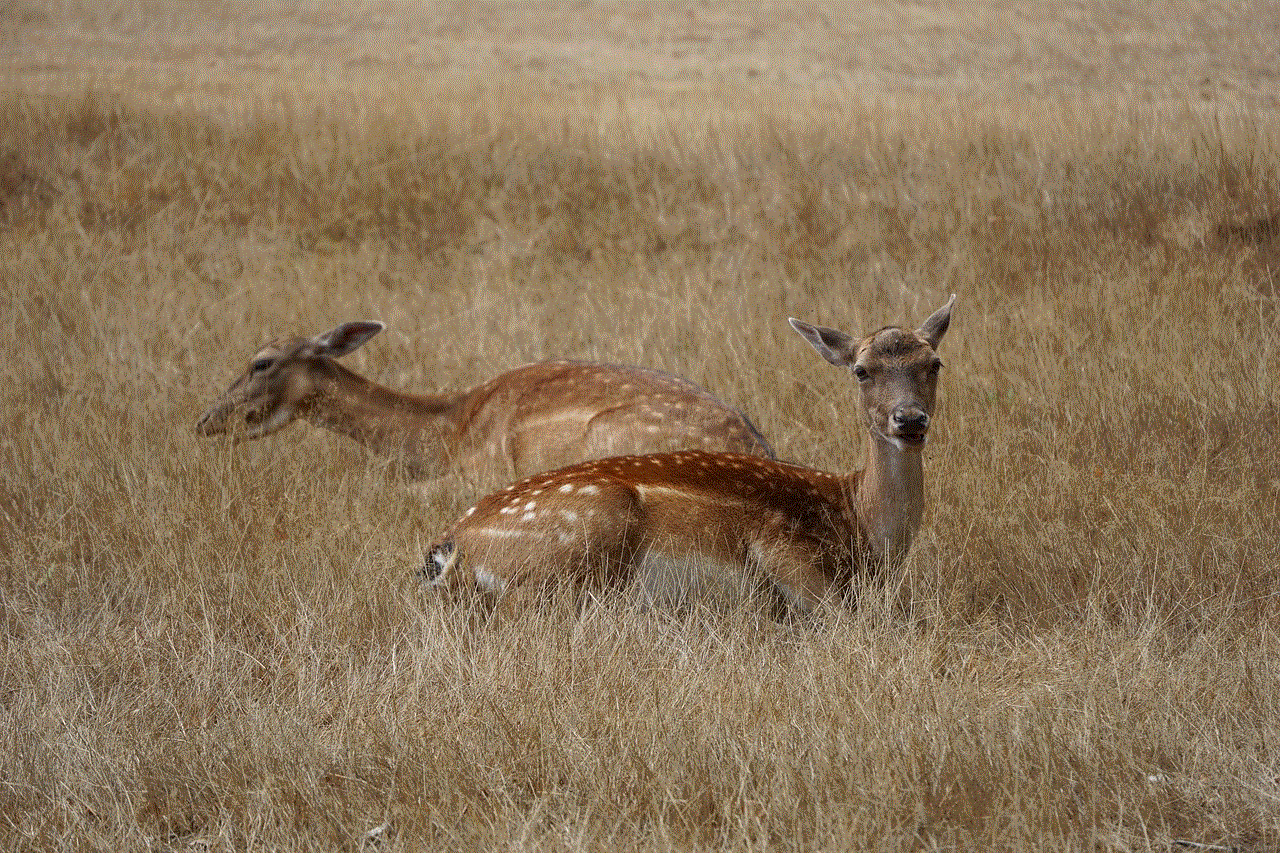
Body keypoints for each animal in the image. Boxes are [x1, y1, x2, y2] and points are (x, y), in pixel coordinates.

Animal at [424, 295, 957, 614]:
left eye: (934, 363)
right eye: (861, 371)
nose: (909, 420)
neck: (856, 523)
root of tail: (451, 545)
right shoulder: (782, 547)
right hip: (588, 529)